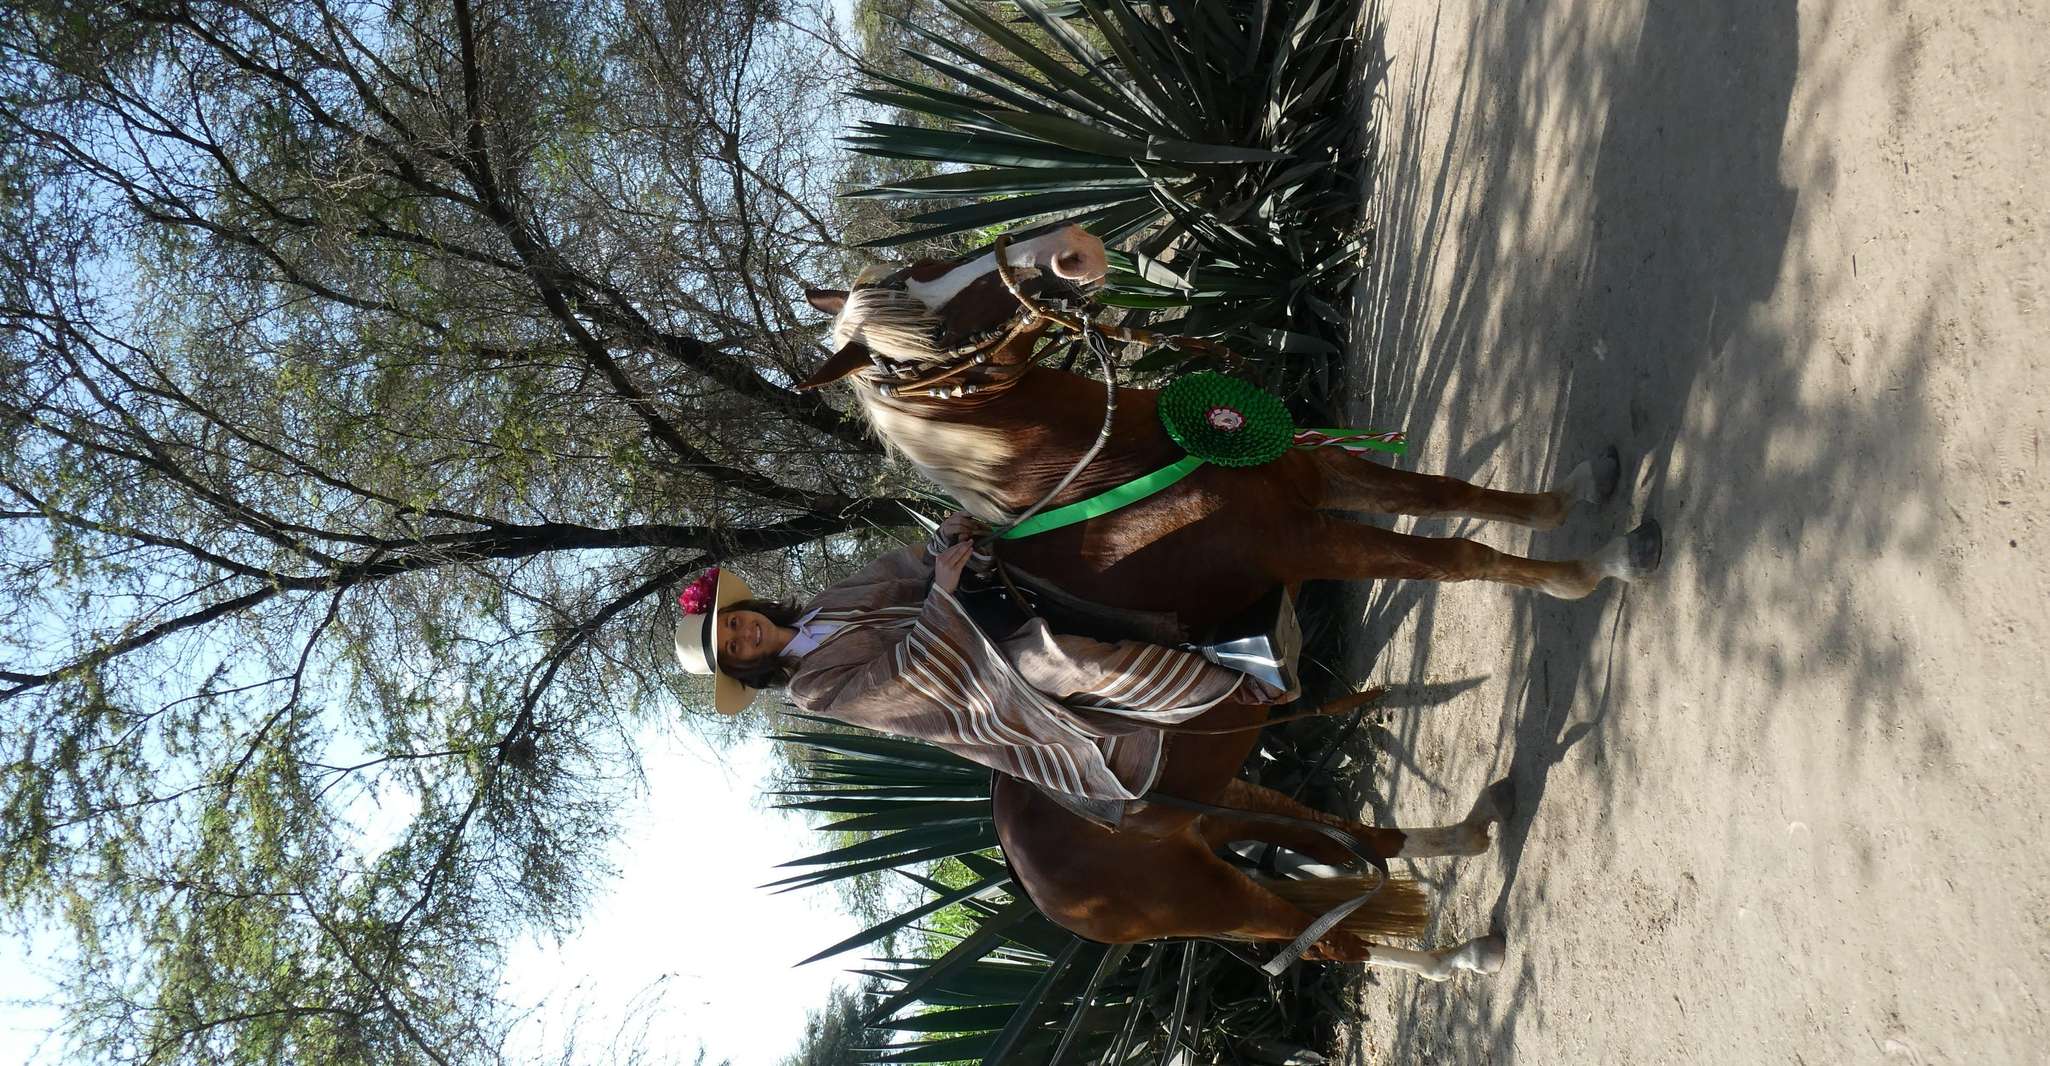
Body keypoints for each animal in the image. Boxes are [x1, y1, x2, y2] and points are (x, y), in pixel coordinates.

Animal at [791, 222, 1656, 975]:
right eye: (932, 335)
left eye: (927, 269)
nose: (1066, 251)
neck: (1119, 478)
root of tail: (1029, 878)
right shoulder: (1309, 542)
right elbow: (1458, 557)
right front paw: (1598, 566)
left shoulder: (1319, 481)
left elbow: (1452, 495)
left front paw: (1579, 493)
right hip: (1212, 897)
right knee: (1326, 940)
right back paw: (1463, 956)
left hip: (1222, 801)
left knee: (1357, 846)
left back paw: (1475, 832)